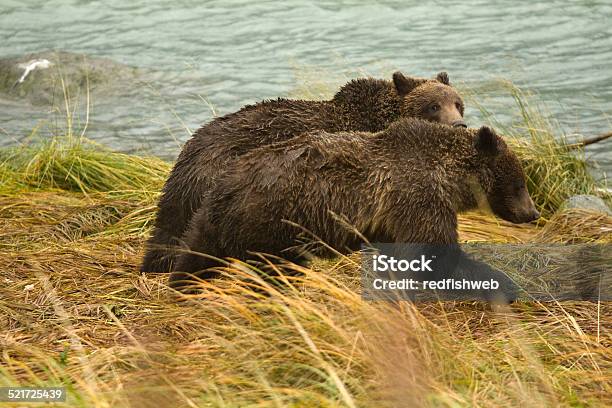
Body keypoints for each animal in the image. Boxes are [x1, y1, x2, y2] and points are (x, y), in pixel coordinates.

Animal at [170, 118, 536, 300]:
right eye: (520, 183)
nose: (532, 213)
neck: (449, 176)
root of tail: (226, 184)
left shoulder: (394, 218)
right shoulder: (419, 197)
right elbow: (434, 257)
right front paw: (503, 284)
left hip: (214, 217)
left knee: (195, 253)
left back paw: (181, 286)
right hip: (272, 220)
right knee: (272, 270)